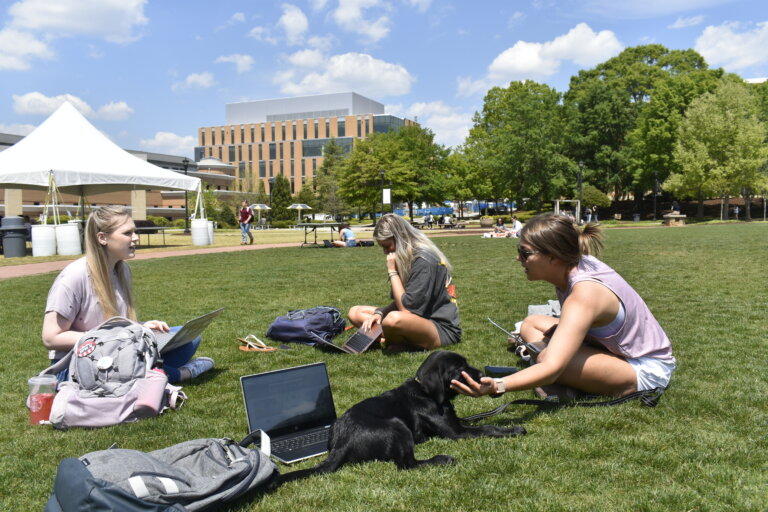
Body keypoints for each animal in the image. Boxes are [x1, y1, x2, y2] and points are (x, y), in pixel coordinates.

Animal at [278, 350, 528, 486]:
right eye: (460, 368)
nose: (483, 375)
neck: (427, 393)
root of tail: (342, 443)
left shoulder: (457, 423)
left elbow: (481, 420)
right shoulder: (456, 433)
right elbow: (488, 428)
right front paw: (513, 430)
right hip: (398, 426)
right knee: (407, 465)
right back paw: (440, 459)